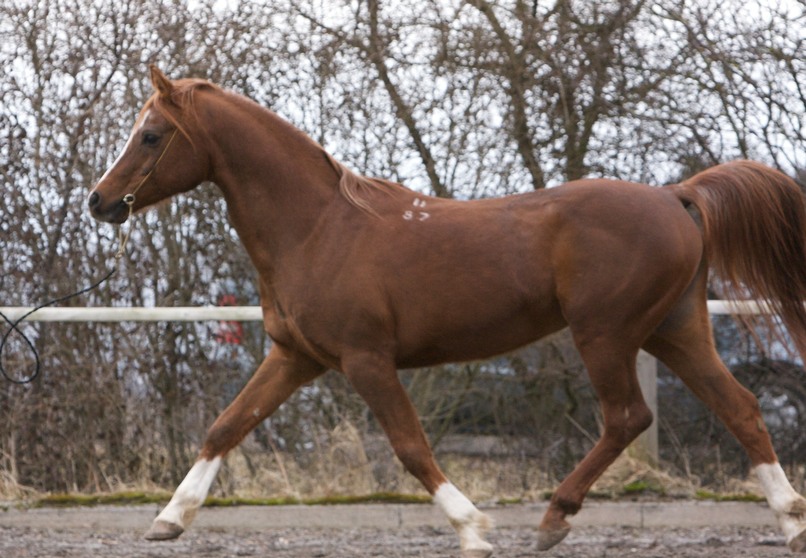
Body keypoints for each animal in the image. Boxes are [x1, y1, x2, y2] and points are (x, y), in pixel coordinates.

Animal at [88, 66, 806, 557]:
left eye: (150, 135)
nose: (100, 202)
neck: (317, 227)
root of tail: (675, 195)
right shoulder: (296, 357)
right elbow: (225, 427)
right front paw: (168, 519)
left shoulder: (366, 360)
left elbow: (410, 446)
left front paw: (474, 528)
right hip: (674, 330)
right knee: (741, 408)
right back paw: (790, 519)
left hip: (606, 333)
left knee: (628, 416)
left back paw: (553, 519)